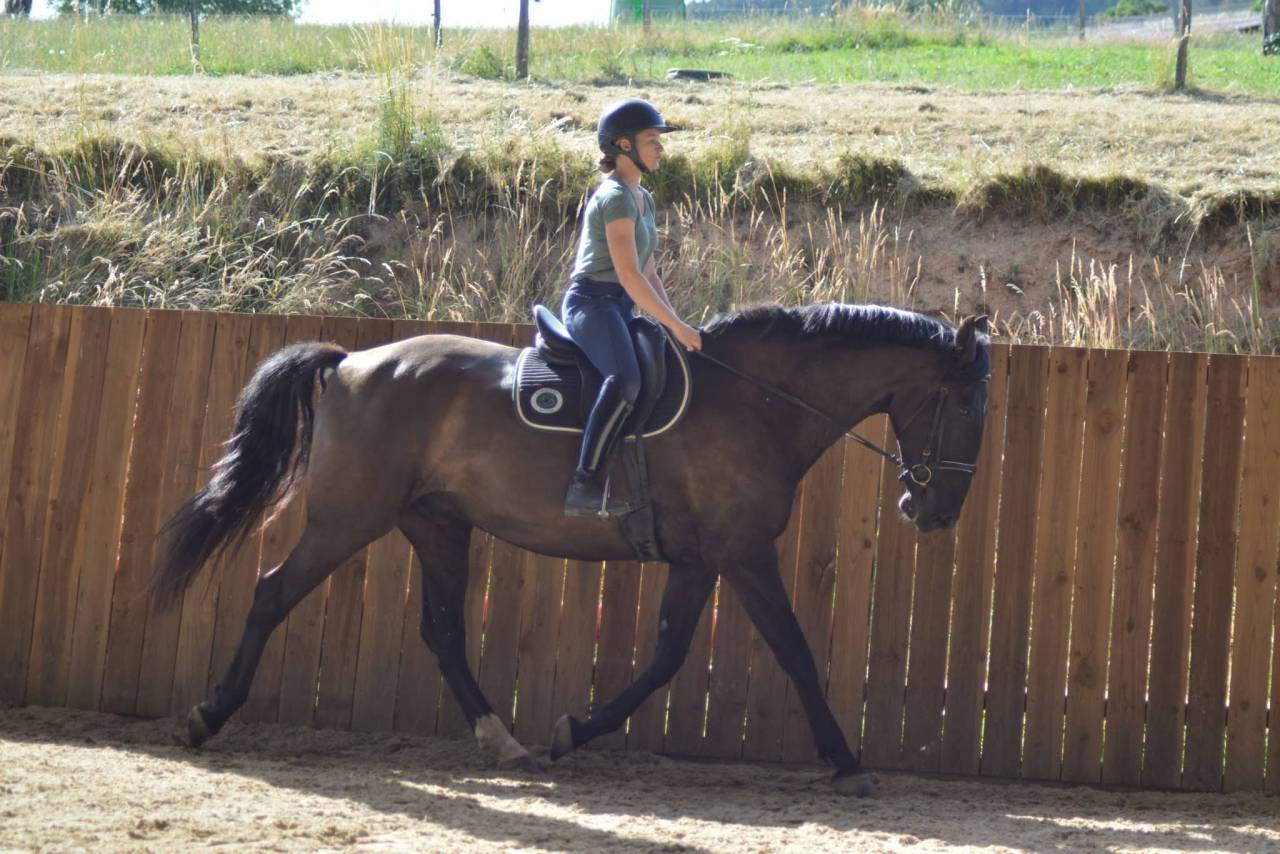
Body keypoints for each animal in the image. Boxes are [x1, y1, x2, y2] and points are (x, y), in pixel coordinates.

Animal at [151, 303, 992, 798]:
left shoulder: (700, 560)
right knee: (271, 591)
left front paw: (570, 732)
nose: (936, 511)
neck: (756, 401)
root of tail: (353, 361)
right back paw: (205, 716)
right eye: (966, 407)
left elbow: (666, 657)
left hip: (437, 526)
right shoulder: (744, 553)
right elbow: (793, 651)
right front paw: (846, 761)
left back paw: (507, 743)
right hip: (348, 519)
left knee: (444, 631)